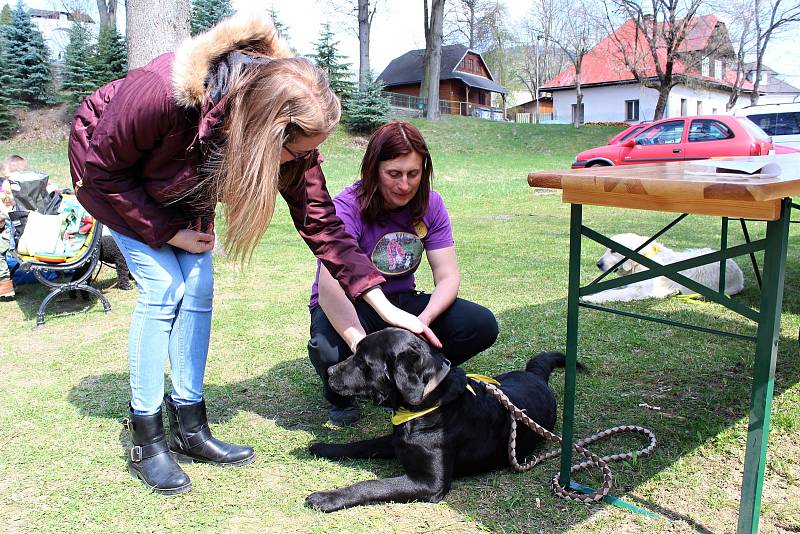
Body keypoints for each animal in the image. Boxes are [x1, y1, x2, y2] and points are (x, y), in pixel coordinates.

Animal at [306, 328, 568, 512]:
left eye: (362, 361)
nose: (329, 372)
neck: (427, 403)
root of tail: (536, 375)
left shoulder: (431, 483)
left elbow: (373, 485)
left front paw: (327, 498)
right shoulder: (395, 441)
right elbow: (362, 445)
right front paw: (324, 448)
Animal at [580, 234, 744, 306]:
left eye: (613, 251)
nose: (598, 264)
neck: (642, 259)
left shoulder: (640, 290)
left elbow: (615, 293)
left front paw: (590, 298)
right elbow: (610, 290)